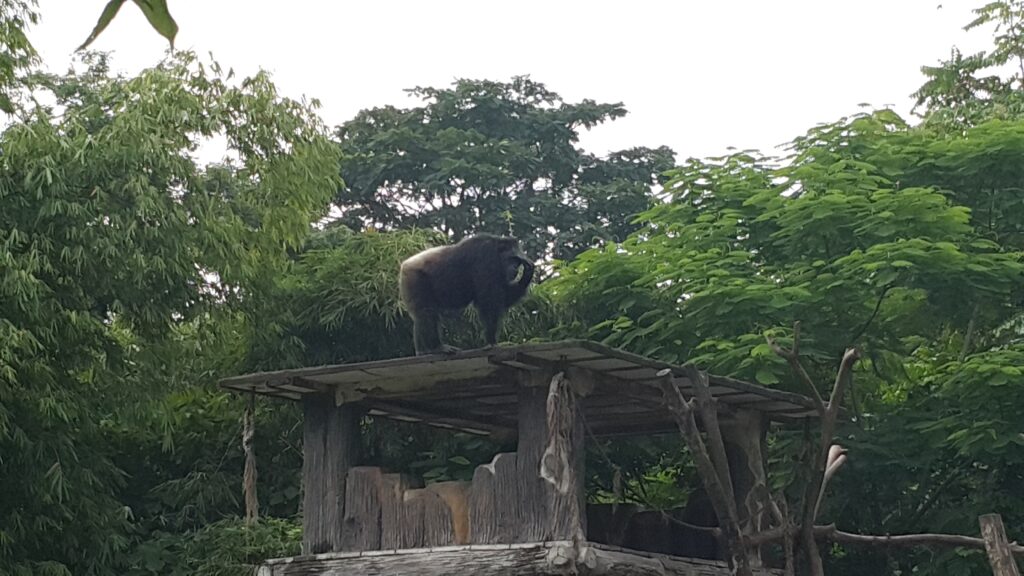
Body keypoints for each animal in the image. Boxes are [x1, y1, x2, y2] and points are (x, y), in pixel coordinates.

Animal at [399, 234, 535, 356]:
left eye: (518, 262)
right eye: (512, 259)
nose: (516, 268)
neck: (497, 254)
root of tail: (405, 264)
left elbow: (504, 299)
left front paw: (528, 273)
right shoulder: (485, 258)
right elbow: (488, 302)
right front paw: (491, 341)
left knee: (421, 316)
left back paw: (423, 350)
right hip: (414, 278)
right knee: (426, 312)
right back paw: (436, 347)